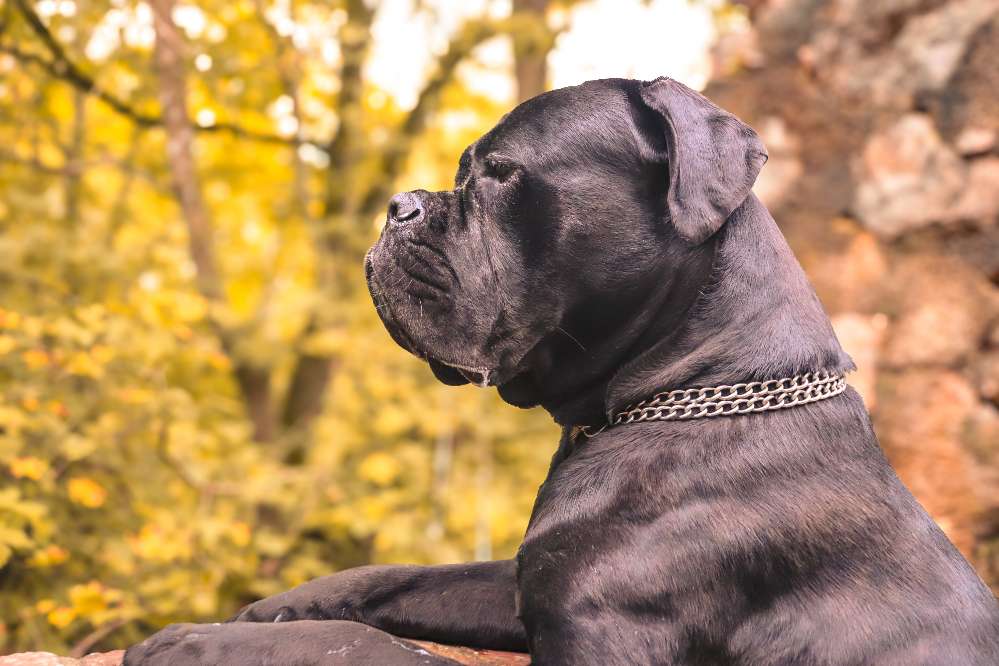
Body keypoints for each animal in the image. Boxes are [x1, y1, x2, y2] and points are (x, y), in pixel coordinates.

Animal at [125, 76, 999, 660]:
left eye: (501, 173)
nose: (398, 206)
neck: (694, 391)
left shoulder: (600, 633)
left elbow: (372, 650)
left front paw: (198, 642)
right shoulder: (526, 583)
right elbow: (393, 577)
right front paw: (257, 610)